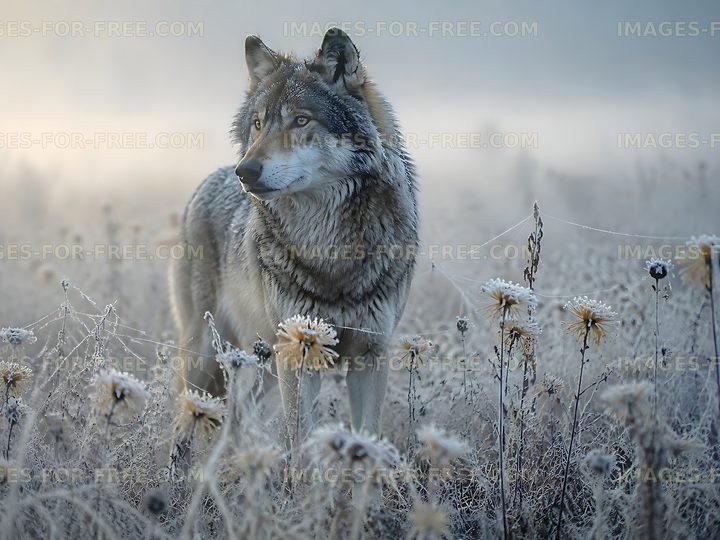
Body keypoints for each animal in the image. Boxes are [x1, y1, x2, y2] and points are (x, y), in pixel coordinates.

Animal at [169, 28, 418, 443]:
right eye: (257, 123)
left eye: (301, 120)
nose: (245, 172)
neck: (330, 249)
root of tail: (204, 184)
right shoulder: (300, 354)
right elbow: (300, 442)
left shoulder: (370, 355)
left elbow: (366, 437)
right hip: (208, 357)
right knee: (187, 417)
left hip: (268, 362)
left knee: (240, 410)